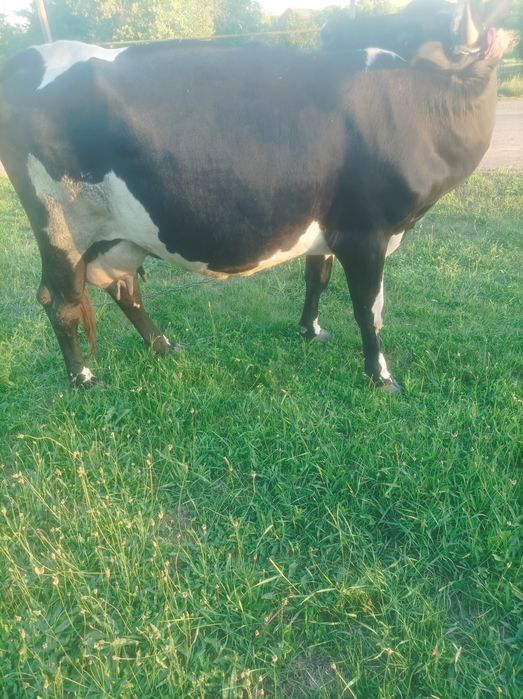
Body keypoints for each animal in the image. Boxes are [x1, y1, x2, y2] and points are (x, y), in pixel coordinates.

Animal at [0, 1, 506, 390]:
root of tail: (28, 59)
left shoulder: (326, 228)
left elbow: (316, 280)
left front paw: (310, 331)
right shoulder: (366, 232)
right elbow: (369, 308)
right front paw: (380, 377)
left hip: (118, 234)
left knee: (123, 289)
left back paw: (163, 346)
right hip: (61, 226)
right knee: (60, 301)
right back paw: (84, 378)